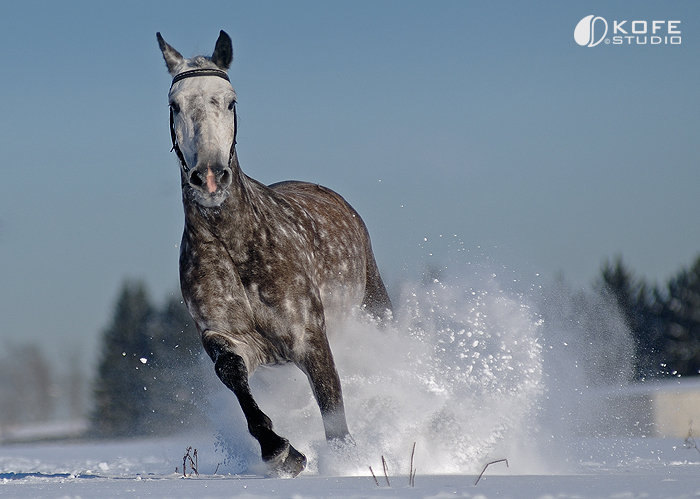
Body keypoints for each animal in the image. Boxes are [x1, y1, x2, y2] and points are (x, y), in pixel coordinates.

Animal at [158, 30, 394, 476]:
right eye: (174, 104)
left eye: (230, 101)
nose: (209, 178)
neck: (239, 248)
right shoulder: (231, 339)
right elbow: (233, 374)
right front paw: (282, 452)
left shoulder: (310, 339)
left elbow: (333, 412)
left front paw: (345, 465)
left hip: (374, 308)